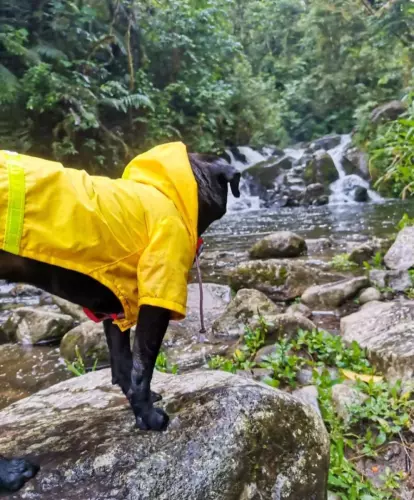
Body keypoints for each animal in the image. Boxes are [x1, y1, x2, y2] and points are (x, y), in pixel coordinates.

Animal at [0, 148, 241, 492]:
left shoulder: (114, 310)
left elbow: (124, 364)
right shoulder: (154, 303)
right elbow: (142, 369)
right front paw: (149, 418)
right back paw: (9, 474)